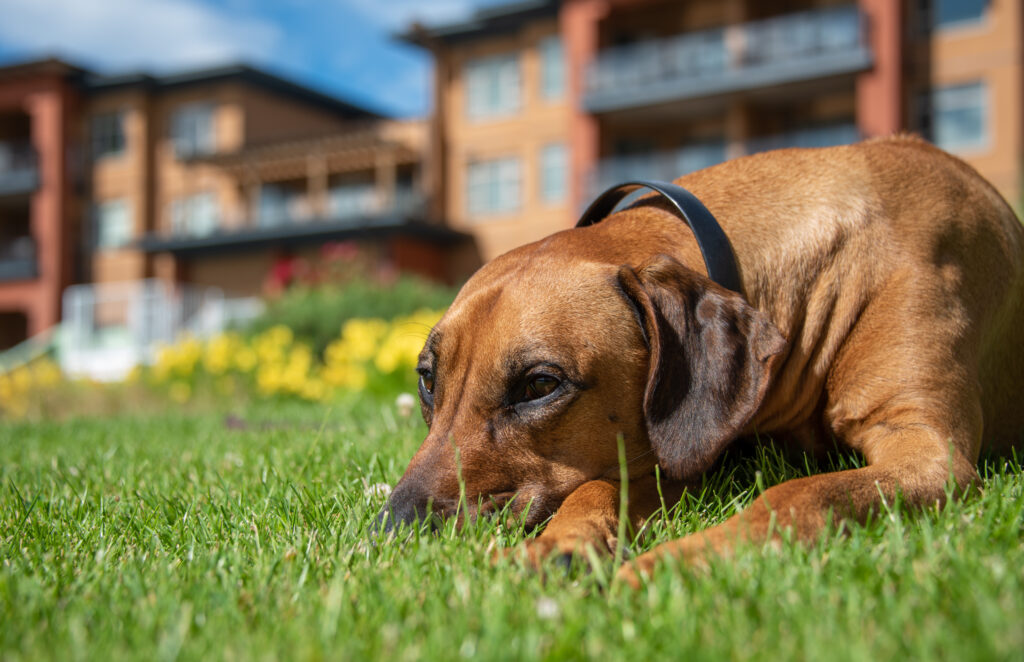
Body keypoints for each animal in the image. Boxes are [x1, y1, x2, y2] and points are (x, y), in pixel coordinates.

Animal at [378, 136, 1024, 586]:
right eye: (427, 380)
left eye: (539, 384)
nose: (394, 527)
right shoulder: (687, 451)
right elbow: (602, 484)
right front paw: (562, 543)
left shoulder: (929, 453)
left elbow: (796, 495)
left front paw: (674, 562)